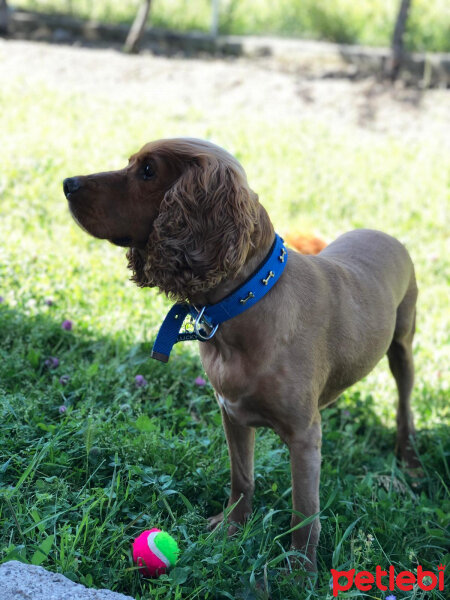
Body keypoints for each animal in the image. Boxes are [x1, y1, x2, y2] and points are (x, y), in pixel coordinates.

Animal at [63, 137, 418, 572]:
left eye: (148, 171)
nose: (67, 183)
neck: (244, 304)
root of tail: (383, 233)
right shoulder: (231, 413)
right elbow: (242, 478)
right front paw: (231, 529)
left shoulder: (303, 435)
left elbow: (304, 510)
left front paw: (299, 572)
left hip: (403, 346)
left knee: (404, 406)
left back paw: (410, 461)